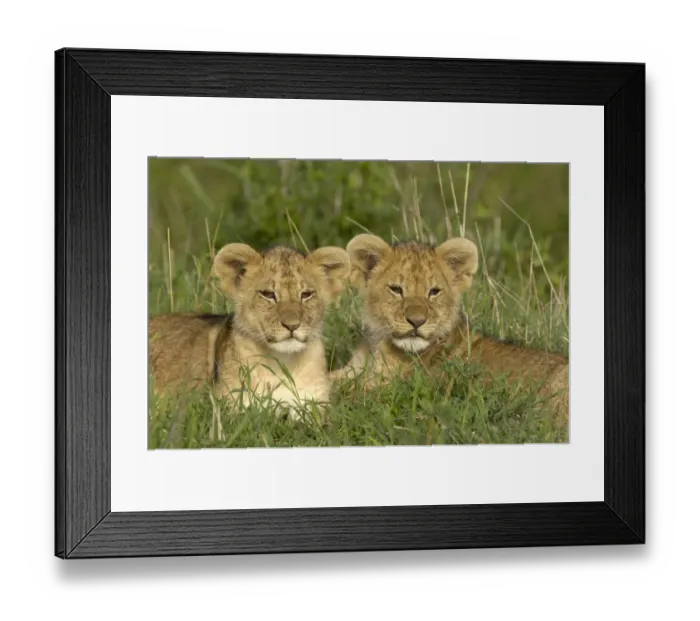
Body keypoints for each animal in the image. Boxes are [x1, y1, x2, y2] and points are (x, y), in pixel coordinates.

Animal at [149, 243, 350, 438]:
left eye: (306, 294)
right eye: (268, 294)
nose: (292, 325)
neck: (283, 362)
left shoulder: (318, 405)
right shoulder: (224, 411)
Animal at [333, 233, 569, 427]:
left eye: (434, 291)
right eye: (396, 289)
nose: (417, 321)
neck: (377, 344)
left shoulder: (389, 389)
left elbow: (344, 395)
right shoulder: (352, 370)